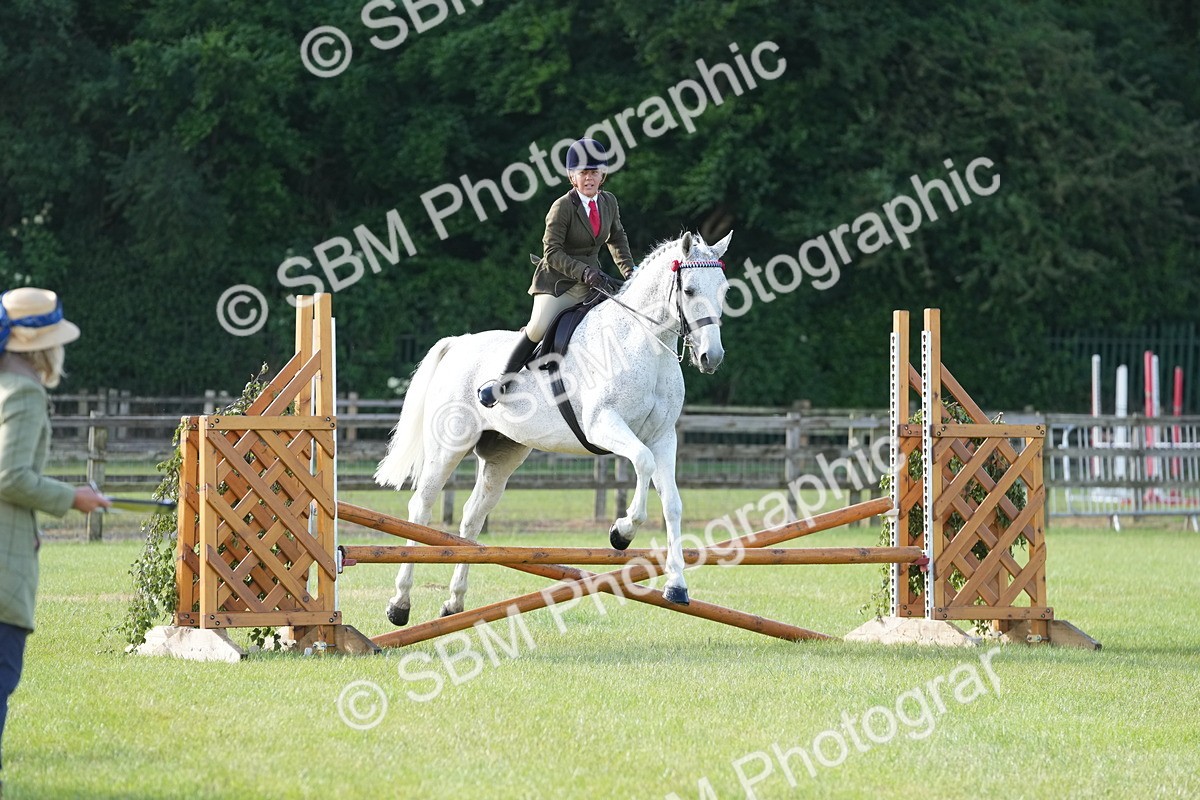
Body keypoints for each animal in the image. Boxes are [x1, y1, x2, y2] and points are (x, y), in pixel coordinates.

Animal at [374, 230, 732, 625]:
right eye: (690, 291)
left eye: (724, 290)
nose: (711, 358)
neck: (641, 344)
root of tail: (458, 343)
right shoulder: (603, 425)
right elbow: (641, 462)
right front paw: (621, 532)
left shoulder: (663, 438)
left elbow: (672, 504)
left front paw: (677, 586)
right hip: (448, 447)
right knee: (421, 509)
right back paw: (399, 604)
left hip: (503, 454)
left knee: (471, 517)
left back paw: (454, 603)